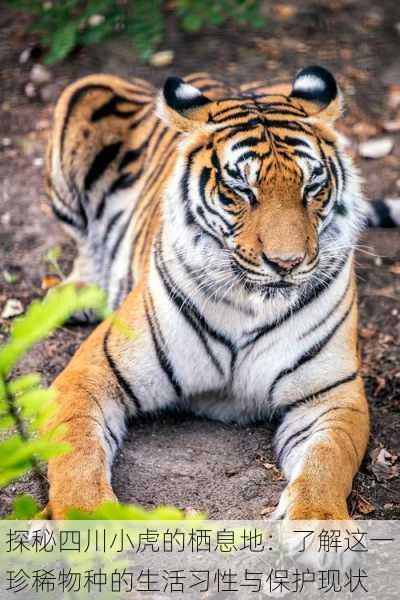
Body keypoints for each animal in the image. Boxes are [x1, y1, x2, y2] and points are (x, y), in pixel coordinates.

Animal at [43, 65, 394, 520]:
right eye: (241, 190)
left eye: (312, 186)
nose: (287, 263)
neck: (249, 306)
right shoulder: (90, 373)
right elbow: (76, 451)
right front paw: (89, 519)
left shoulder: (332, 395)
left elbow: (327, 460)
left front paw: (318, 523)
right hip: (83, 93)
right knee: (83, 239)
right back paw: (77, 293)